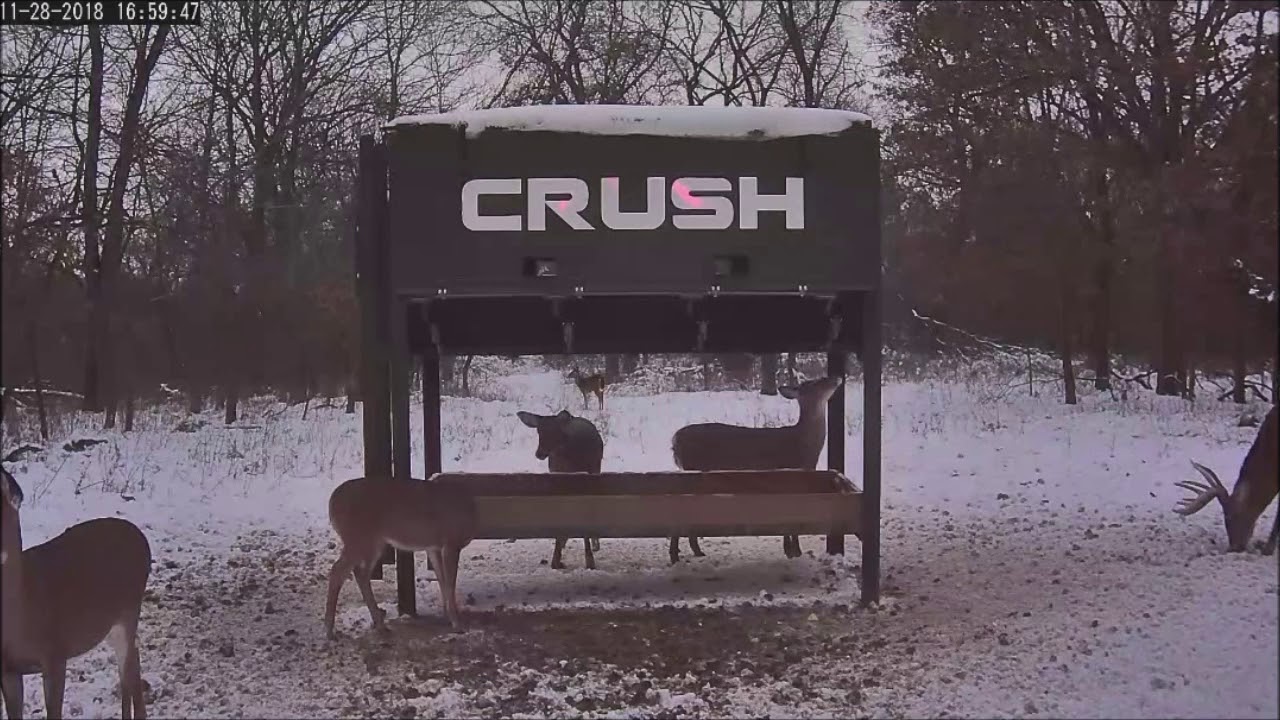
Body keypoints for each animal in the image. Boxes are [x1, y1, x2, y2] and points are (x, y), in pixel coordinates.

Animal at [1, 467, 153, 720]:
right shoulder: (8, 670)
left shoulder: (56, 654)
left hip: (129, 610)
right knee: (134, 657)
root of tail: (142, 539)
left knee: (127, 667)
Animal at [324, 476, 477, 639]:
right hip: (359, 537)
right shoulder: (451, 543)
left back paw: (380, 625)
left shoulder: (434, 547)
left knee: (360, 574)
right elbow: (450, 583)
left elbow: (442, 580)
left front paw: (447, 617)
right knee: (338, 570)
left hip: (374, 542)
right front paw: (457, 624)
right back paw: (329, 630)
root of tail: (332, 502)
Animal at [516, 409, 603, 569]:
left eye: (555, 431)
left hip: (596, 469)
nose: (539, 453)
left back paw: (595, 544)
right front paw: (555, 559)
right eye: (539, 431)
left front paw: (590, 561)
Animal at [669, 375, 844, 564]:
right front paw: (794, 551)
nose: (837, 377)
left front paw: (791, 550)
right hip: (694, 471)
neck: (804, 449)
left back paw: (695, 551)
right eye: (814, 382)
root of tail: (675, 439)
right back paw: (676, 556)